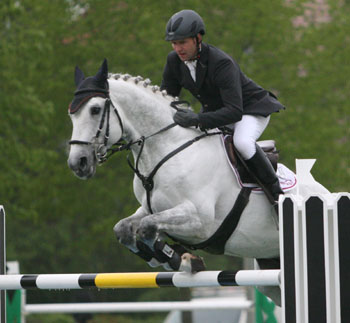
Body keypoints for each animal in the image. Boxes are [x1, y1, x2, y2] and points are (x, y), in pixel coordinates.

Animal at [67, 59, 330, 306]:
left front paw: (179, 258)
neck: (167, 147)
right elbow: (124, 229)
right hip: (270, 273)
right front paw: (180, 259)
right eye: (72, 114)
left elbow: (147, 227)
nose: (77, 163)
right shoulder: (150, 209)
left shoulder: (200, 221)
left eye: (95, 109)